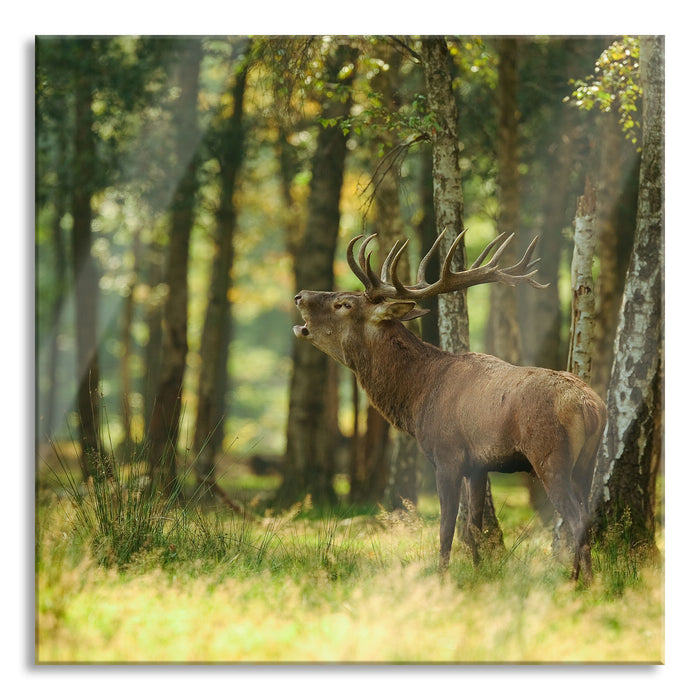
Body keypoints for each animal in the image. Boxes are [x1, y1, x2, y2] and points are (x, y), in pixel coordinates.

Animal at [292, 229, 606, 584]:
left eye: (344, 303)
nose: (300, 295)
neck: (418, 396)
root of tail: (589, 407)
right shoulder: (479, 465)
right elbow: (473, 528)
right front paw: (479, 574)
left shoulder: (447, 455)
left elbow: (446, 529)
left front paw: (441, 578)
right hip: (586, 462)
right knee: (585, 514)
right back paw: (581, 579)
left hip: (551, 456)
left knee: (576, 518)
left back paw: (579, 582)